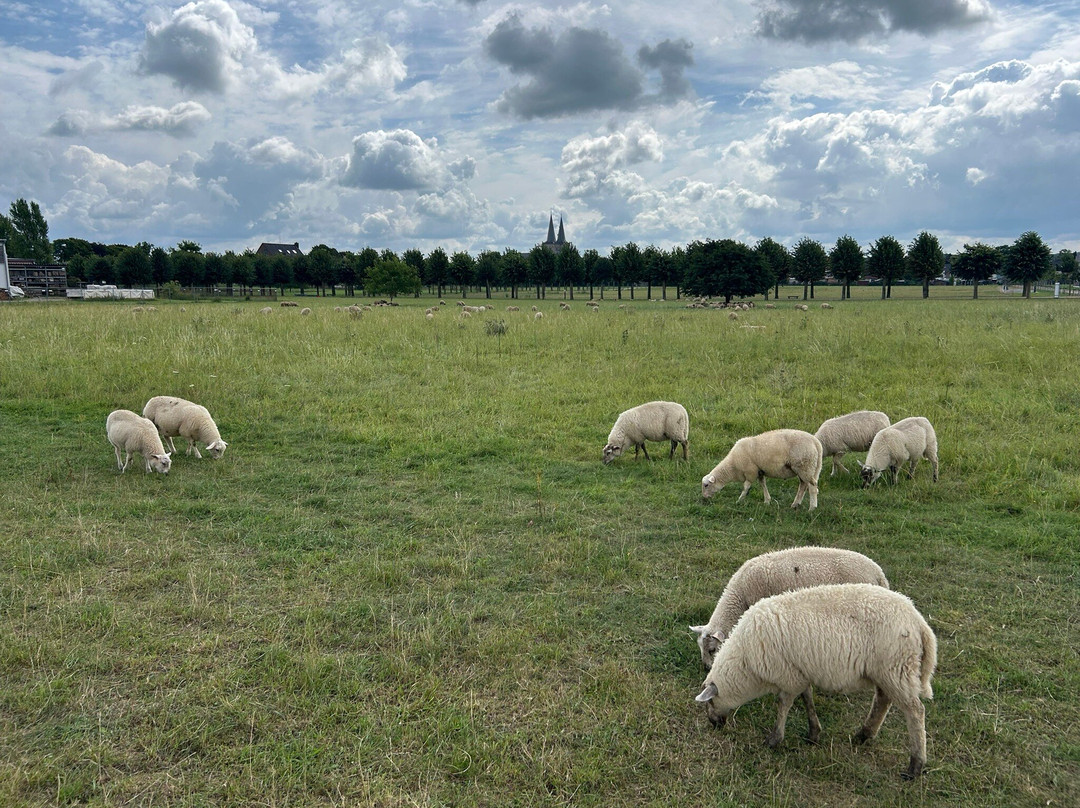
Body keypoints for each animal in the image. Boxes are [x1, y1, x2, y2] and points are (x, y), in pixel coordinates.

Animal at [694, 583, 936, 780]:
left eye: (710, 702)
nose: (713, 724)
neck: (746, 664)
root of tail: (919, 622)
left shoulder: (787, 675)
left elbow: (783, 704)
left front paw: (774, 739)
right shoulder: (799, 672)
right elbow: (807, 698)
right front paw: (813, 733)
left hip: (896, 669)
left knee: (915, 711)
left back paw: (915, 766)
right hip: (887, 671)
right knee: (883, 700)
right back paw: (864, 734)